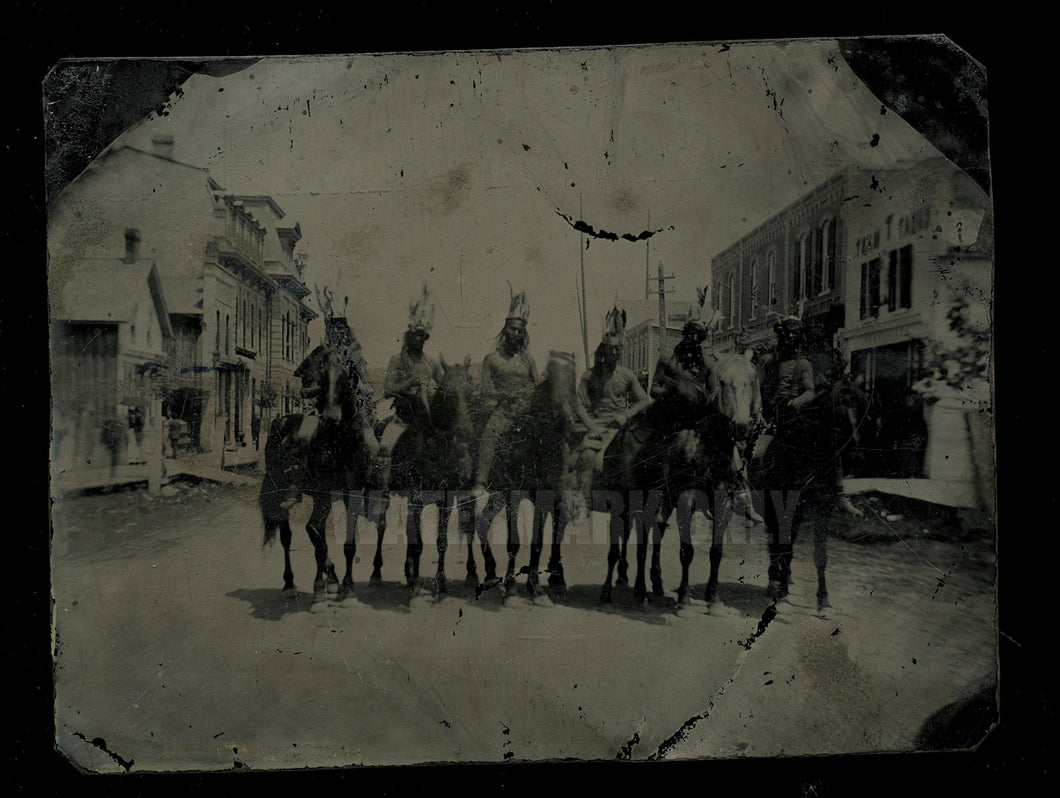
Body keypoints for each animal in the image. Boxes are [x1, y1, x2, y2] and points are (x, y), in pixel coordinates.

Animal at [258, 343, 379, 597]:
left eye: (328, 363)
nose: (300, 374)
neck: (340, 440)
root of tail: (278, 420)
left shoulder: (346, 494)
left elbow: (342, 541)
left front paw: (344, 583)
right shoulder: (325, 495)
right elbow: (315, 535)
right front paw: (325, 581)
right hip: (282, 493)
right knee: (287, 536)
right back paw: (290, 582)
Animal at [368, 353, 491, 593]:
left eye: (471, 388)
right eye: (446, 391)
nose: (465, 430)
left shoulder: (446, 500)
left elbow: (441, 539)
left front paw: (440, 579)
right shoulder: (416, 497)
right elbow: (417, 541)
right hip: (384, 490)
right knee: (382, 525)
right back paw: (376, 572)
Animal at [597, 351, 763, 606]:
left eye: (751, 380)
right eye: (722, 381)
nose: (742, 426)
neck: (709, 449)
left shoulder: (723, 501)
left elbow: (716, 551)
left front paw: (713, 598)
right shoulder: (685, 500)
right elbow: (687, 551)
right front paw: (684, 597)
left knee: (651, 534)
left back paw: (649, 584)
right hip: (628, 499)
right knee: (623, 538)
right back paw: (617, 586)